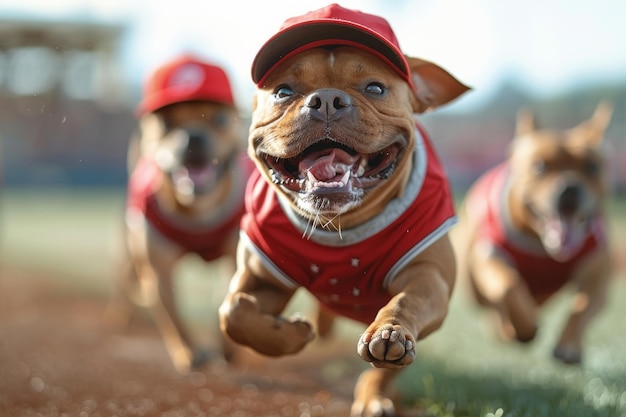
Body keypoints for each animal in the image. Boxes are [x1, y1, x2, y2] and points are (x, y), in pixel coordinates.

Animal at [105, 52, 254, 374]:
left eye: (220, 119)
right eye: (166, 122)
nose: (194, 137)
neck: (198, 209)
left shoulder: (235, 260)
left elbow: (228, 301)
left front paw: (227, 348)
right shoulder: (158, 271)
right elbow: (173, 318)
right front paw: (188, 353)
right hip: (128, 260)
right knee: (125, 289)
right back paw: (121, 319)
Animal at [219, 4, 468, 416]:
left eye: (375, 88)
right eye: (283, 91)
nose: (326, 99)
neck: (341, 223)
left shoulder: (428, 275)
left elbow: (406, 301)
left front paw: (389, 331)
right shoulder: (261, 273)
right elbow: (235, 312)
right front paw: (291, 333)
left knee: (386, 371)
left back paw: (374, 396)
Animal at [456, 101, 612, 364]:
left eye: (591, 167)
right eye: (540, 166)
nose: (570, 187)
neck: (541, 245)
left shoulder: (597, 273)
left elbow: (582, 306)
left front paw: (569, 345)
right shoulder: (490, 256)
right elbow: (508, 286)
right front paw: (524, 327)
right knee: (495, 306)